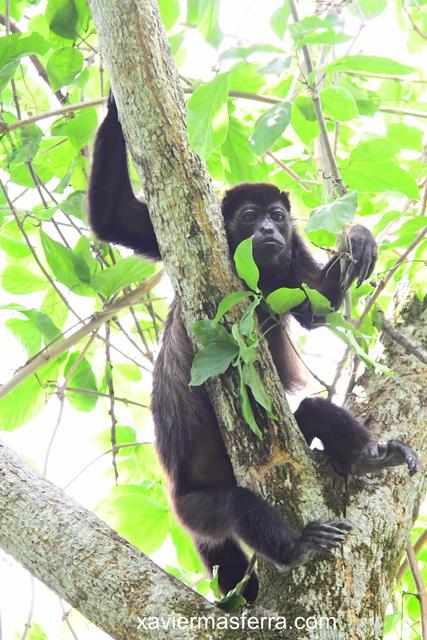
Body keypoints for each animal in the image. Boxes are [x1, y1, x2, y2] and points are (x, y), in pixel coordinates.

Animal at [88, 95, 420, 600]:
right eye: (249, 215)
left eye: (277, 216)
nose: (267, 229)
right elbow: (111, 218)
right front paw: (111, 102)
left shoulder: (292, 258)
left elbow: (316, 308)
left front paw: (359, 239)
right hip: (194, 508)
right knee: (235, 504)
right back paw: (295, 548)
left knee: (312, 411)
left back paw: (370, 458)